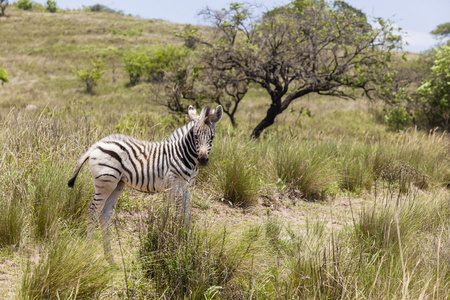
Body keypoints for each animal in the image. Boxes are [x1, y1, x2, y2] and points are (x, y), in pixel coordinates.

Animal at [67, 104, 222, 256]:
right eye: (196, 136)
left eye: (212, 137)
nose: (203, 160)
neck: (183, 154)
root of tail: (97, 144)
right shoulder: (175, 184)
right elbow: (178, 215)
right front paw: (178, 242)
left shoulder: (186, 186)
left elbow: (187, 215)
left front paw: (187, 242)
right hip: (105, 183)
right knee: (93, 212)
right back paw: (88, 251)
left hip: (117, 184)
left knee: (104, 216)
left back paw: (109, 259)